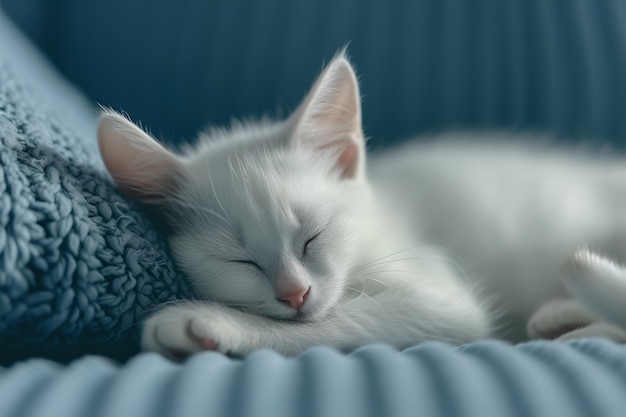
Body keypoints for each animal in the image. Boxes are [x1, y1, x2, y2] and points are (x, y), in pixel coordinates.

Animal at [96, 52, 624, 358]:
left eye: (313, 237)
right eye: (239, 260)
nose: (295, 294)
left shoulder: (441, 299)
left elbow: (342, 319)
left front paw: (211, 322)